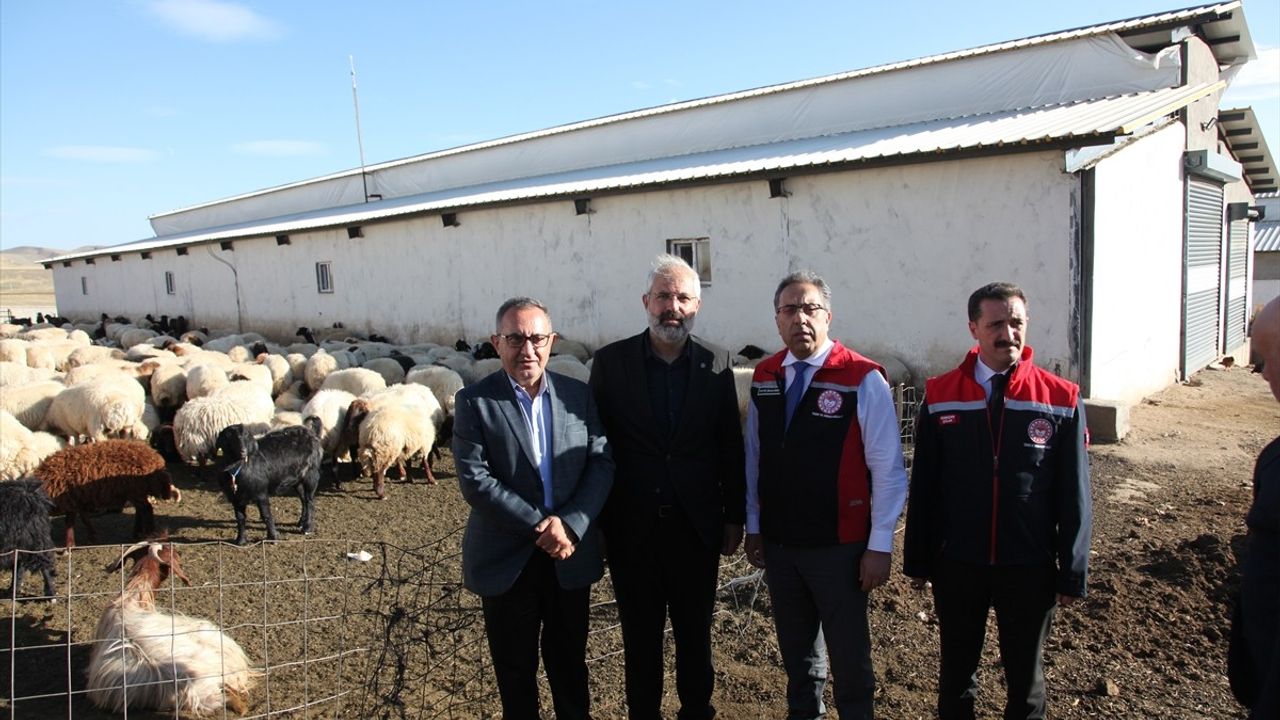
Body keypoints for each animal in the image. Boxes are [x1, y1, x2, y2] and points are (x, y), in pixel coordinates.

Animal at [34, 435, 180, 545]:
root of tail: (155, 458)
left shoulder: (71, 500)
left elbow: (71, 521)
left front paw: (70, 545)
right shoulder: (78, 500)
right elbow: (83, 519)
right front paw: (91, 537)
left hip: (136, 489)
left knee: (146, 509)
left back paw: (149, 534)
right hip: (134, 491)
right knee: (141, 510)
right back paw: (137, 533)